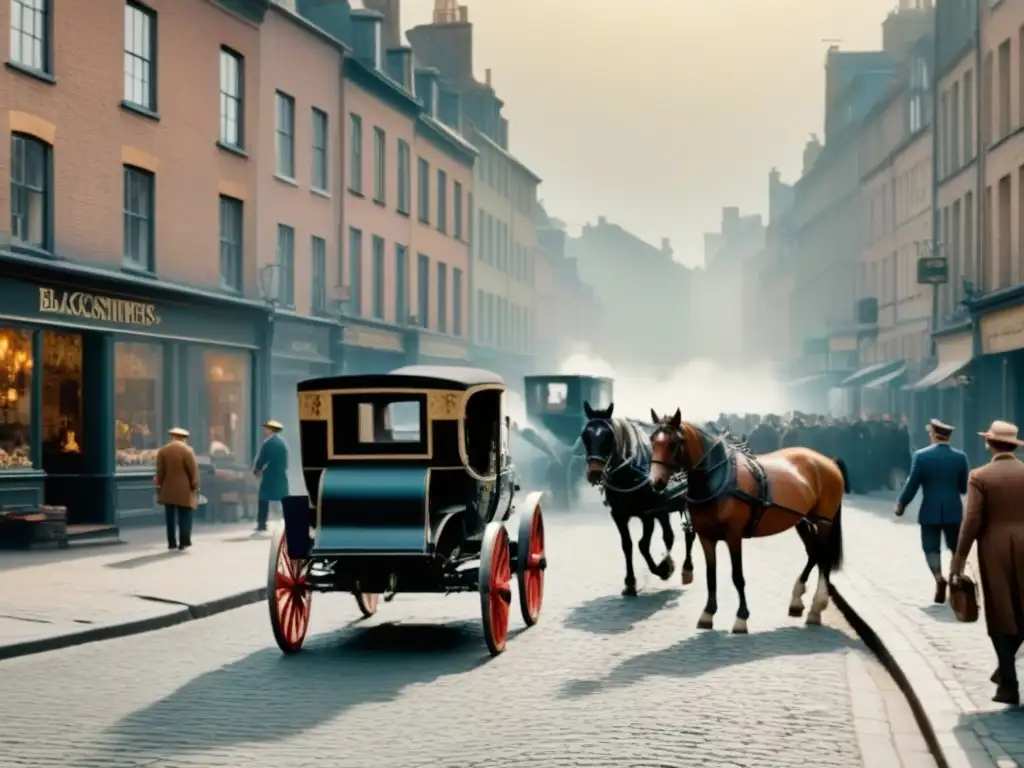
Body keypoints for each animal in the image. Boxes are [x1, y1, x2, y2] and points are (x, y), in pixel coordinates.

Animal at [585, 399, 696, 598]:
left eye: (608, 436)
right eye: (585, 436)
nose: (594, 473)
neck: (628, 472)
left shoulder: (647, 514)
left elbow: (643, 545)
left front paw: (663, 569)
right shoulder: (619, 515)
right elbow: (627, 545)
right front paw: (630, 583)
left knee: (685, 534)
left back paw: (683, 567)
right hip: (663, 508)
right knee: (670, 534)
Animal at [647, 411, 847, 634]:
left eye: (674, 443)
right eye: (652, 440)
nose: (655, 482)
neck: (718, 479)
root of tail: (829, 461)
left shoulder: (734, 535)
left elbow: (737, 576)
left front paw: (741, 617)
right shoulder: (706, 536)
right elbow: (710, 576)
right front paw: (708, 613)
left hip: (824, 522)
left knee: (823, 557)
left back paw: (816, 607)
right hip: (803, 520)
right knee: (814, 555)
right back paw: (797, 600)